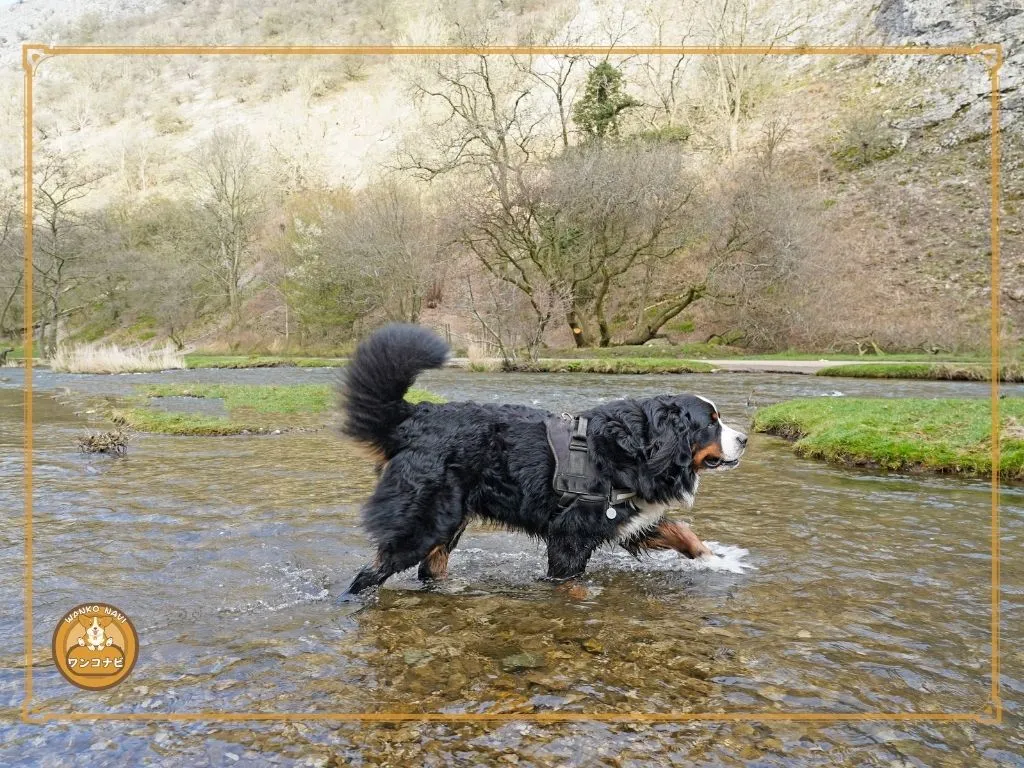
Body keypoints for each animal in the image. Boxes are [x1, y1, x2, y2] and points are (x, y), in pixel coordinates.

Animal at [339, 325, 749, 593]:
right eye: (711, 424)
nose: (744, 439)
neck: (637, 448)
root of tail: (416, 415)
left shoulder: (629, 517)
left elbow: (683, 533)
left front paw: (719, 561)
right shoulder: (571, 534)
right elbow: (569, 581)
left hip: (449, 522)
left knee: (430, 569)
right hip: (424, 523)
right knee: (371, 573)